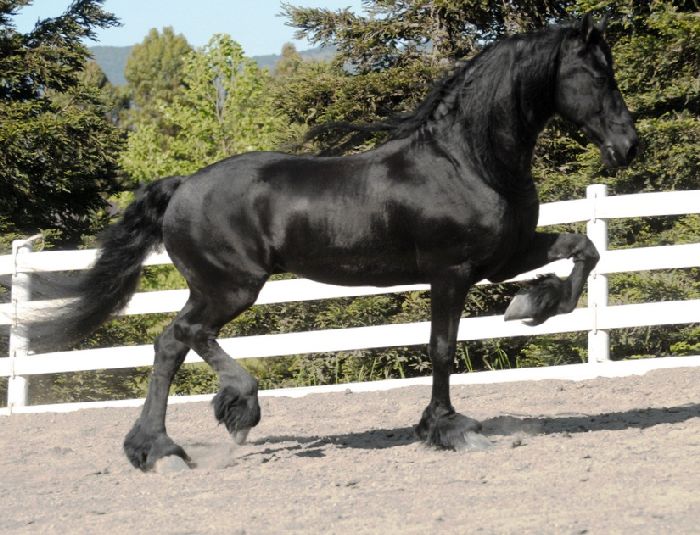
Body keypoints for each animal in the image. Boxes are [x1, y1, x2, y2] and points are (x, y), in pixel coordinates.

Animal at [36, 14, 638, 470]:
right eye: (594, 73)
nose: (629, 145)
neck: (466, 161)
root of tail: (181, 186)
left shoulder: (503, 257)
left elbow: (584, 250)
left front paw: (532, 305)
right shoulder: (452, 271)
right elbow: (441, 349)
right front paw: (449, 428)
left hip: (212, 287)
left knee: (169, 344)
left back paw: (157, 450)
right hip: (233, 286)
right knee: (187, 335)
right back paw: (236, 410)